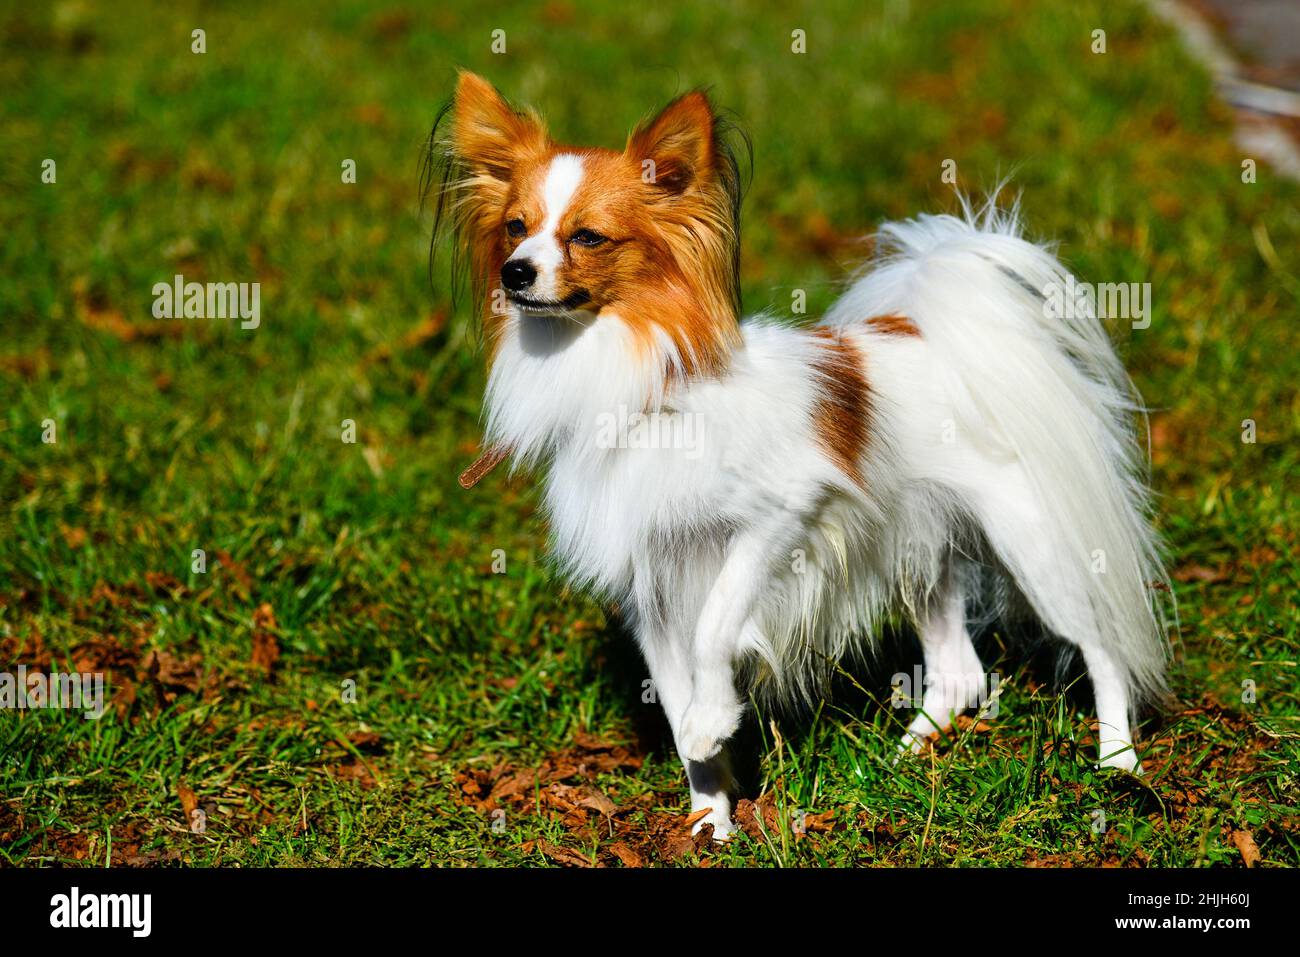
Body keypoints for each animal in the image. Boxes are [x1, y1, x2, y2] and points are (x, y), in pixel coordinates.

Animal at [431, 72, 1175, 837]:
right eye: (515, 228)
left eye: (587, 237)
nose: (516, 273)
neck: (645, 392)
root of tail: (939, 331)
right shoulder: (651, 590)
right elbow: (672, 695)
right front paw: (710, 816)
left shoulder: (781, 519)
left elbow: (715, 630)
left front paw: (712, 724)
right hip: (920, 548)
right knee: (957, 671)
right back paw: (899, 762)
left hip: (1034, 544)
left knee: (1102, 648)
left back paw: (1118, 762)